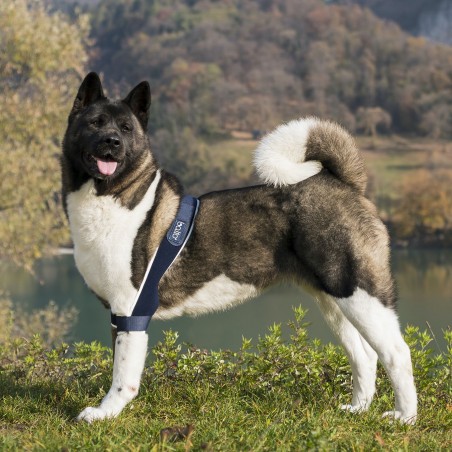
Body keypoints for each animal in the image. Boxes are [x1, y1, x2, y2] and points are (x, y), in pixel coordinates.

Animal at [61, 73, 418, 424]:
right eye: (95, 123)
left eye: (126, 128)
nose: (112, 142)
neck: (115, 196)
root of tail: (345, 184)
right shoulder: (119, 314)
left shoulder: (131, 310)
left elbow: (122, 374)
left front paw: (106, 413)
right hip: (334, 300)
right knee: (364, 354)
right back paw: (359, 408)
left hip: (361, 293)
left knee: (396, 352)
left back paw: (405, 416)